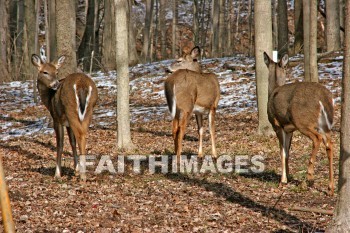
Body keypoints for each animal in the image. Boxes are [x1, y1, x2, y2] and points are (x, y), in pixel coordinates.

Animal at [31, 53, 98, 181]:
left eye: (56, 72)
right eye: (45, 72)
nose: (56, 84)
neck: (49, 100)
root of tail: (81, 84)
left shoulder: (57, 119)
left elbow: (60, 144)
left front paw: (57, 174)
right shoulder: (67, 123)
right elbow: (72, 142)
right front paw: (76, 169)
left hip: (70, 108)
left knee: (80, 135)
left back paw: (83, 176)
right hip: (89, 110)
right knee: (83, 134)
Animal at [264, 52, 334, 196]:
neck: (273, 90)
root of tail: (323, 96)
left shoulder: (277, 125)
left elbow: (282, 152)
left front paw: (283, 180)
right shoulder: (290, 129)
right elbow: (287, 152)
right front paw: (289, 176)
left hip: (302, 121)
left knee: (317, 138)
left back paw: (310, 176)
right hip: (324, 124)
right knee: (330, 145)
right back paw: (330, 188)